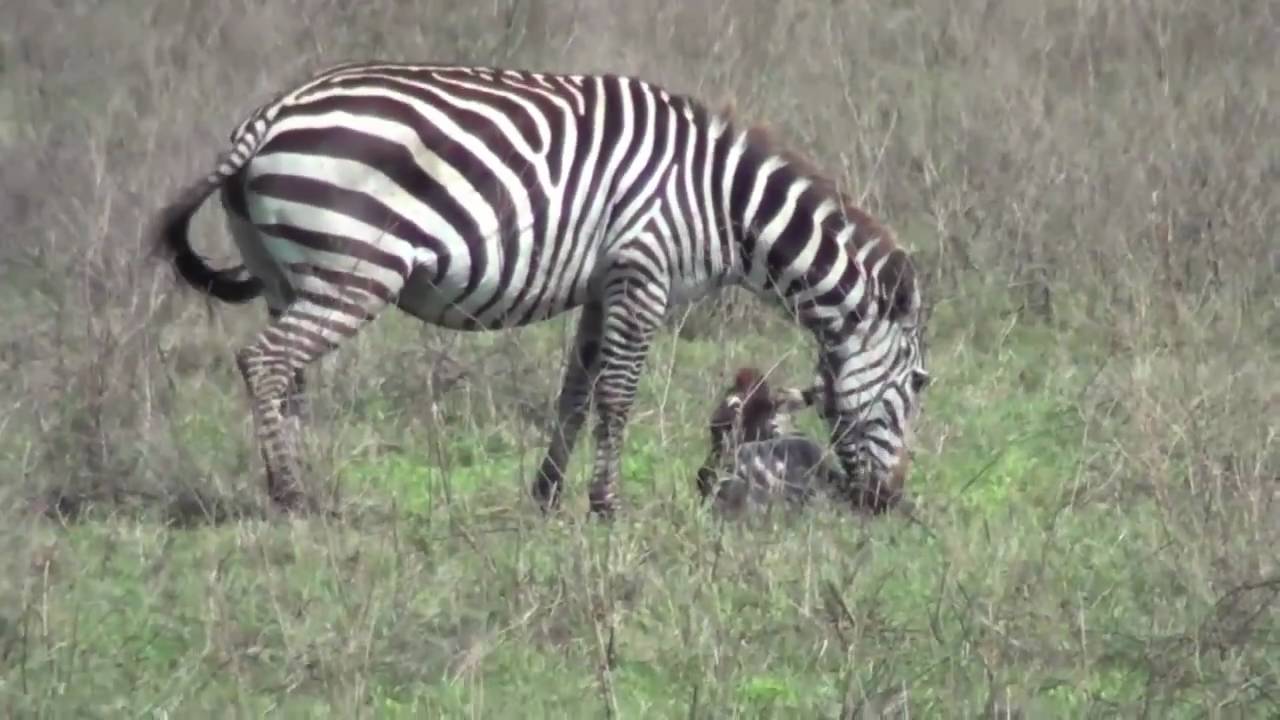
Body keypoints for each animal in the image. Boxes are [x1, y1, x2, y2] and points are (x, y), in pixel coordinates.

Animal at [148, 61, 931, 517]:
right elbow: (617, 397)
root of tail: (269, 116)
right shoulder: (642, 271)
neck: (722, 203)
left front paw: (547, 497)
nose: (887, 503)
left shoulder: (602, 285)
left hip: (287, 273)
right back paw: (291, 497)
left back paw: (307, 487)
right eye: (920, 384)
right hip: (356, 269)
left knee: (291, 375)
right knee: (266, 361)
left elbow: (574, 394)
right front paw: (605, 507)